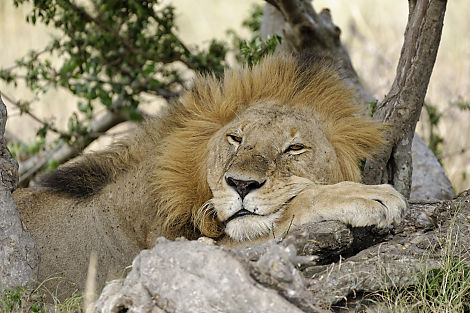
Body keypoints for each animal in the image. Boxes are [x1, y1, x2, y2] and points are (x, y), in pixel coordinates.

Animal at [11, 54, 408, 298]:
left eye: (294, 149)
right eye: (236, 139)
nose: (242, 185)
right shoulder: (174, 250)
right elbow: (295, 205)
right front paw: (370, 196)